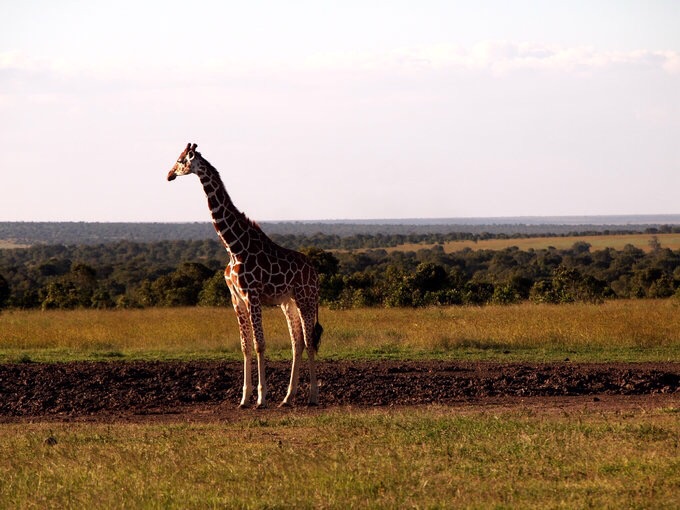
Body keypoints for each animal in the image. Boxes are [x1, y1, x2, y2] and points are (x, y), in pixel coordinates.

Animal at [166, 141, 322, 408]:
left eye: (181, 160)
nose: (169, 175)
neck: (233, 246)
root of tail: (314, 273)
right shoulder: (236, 299)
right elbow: (245, 346)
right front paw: (244, 398)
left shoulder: (253, 296)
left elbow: (260, 345)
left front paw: (261, 397)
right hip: (288, 302)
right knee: (298, 343)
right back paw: (287, 397)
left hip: (305, 298)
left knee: (309, 340)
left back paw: (311, 396)